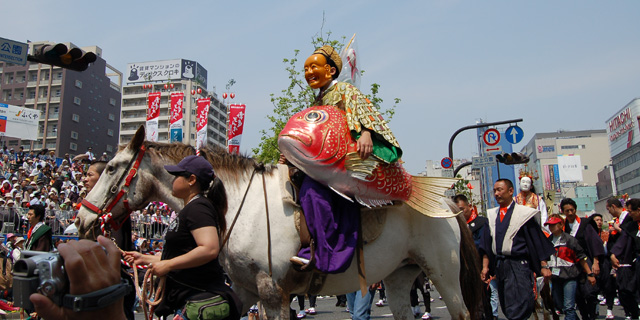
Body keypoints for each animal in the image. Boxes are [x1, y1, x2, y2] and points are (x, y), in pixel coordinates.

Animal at [75, 127, 482, 320]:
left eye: (111, 168)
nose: (81, 218)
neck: (236, 204)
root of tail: (447, 200)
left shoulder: (273, 293)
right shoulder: (244, 291)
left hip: (443, 273)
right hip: (400, 273)